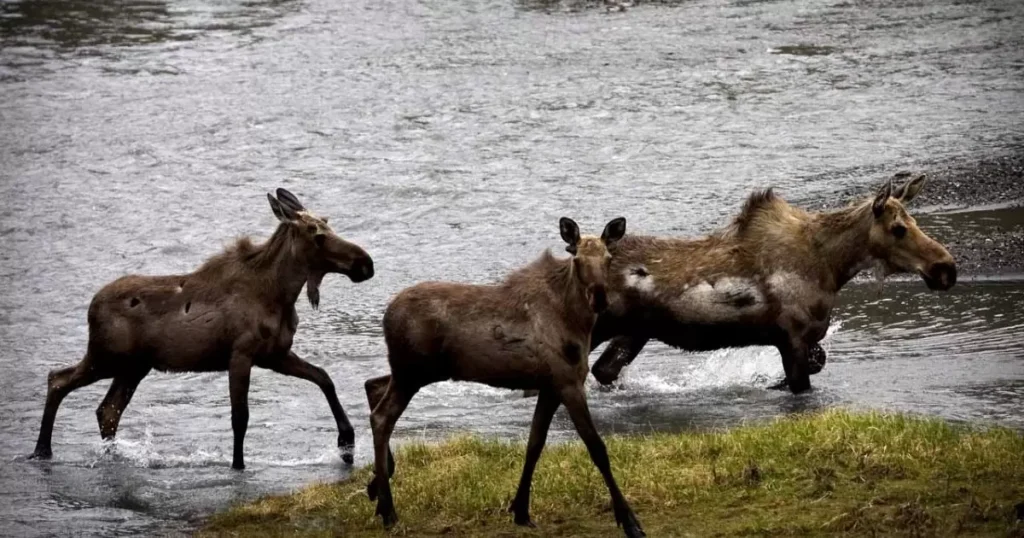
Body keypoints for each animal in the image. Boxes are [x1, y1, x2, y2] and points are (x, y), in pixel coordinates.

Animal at [29, 190, 376, 467]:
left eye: (328, 222)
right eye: (317, 235)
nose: (366, 264)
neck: (280, 294)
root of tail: (92, 306)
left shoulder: (275, 354)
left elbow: (324, 378)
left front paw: (347, 443)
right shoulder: (241, 354)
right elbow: (240, 416)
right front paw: (238, 464)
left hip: (133, 367)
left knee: (107, 409)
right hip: (106, 357)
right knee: (58, 379)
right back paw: (42, 450)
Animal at [364, 218, 643, 536]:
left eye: (609, 259)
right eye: (577, 259)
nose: (599, 296)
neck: (577, 322)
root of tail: (386, 316)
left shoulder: (549, 385)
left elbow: (535, 444)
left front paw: (521, 510)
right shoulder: (568, 381)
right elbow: (596, 447)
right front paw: (630, 521)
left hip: (412, 371)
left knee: (374, 386)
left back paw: (376, 491)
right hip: (412, 372)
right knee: (382, 416)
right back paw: (388, 510)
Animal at [589, 174, 954, 391]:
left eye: (914, 221)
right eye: (898, 228)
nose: (946, 268)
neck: (832, 268)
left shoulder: (801, 339)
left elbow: (817, 362)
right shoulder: (792, 337)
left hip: (636, 331)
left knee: (603, 370)